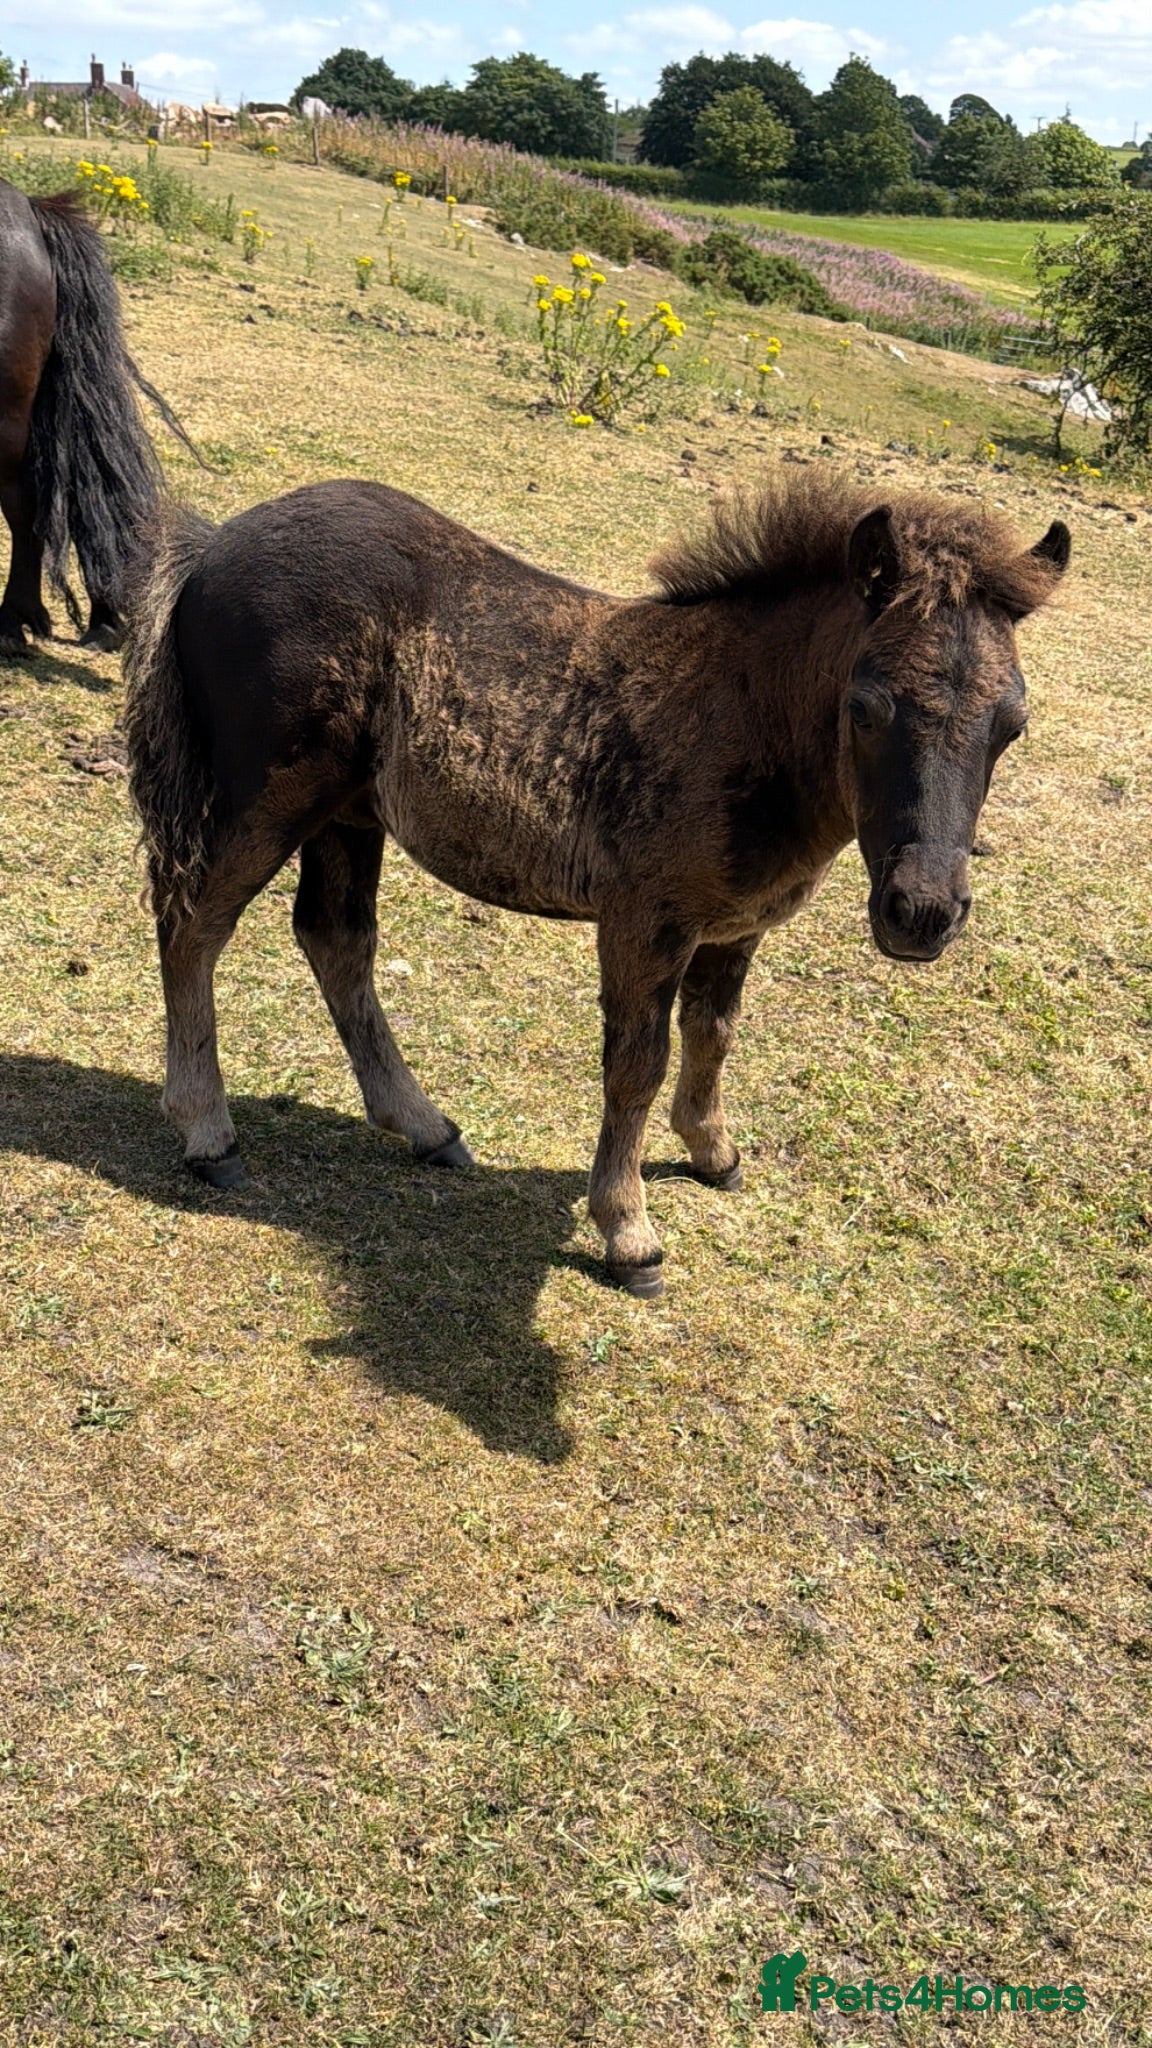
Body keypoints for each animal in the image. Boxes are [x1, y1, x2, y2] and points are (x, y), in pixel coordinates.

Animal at [123, 472, 1070, 1297]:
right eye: (867, 707)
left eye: (1013, 724)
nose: (923, 912)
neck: (742, 716)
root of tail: (213, 547)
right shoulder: (645, 921)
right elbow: (636, 1065)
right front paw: (629, 1233)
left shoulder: (736, 925)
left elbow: (713, 1033)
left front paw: (713, 1152)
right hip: (270, 797)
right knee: (193, 922)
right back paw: (209, 1134)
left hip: (350, 815)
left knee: (334, 940)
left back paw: (426, 1129)